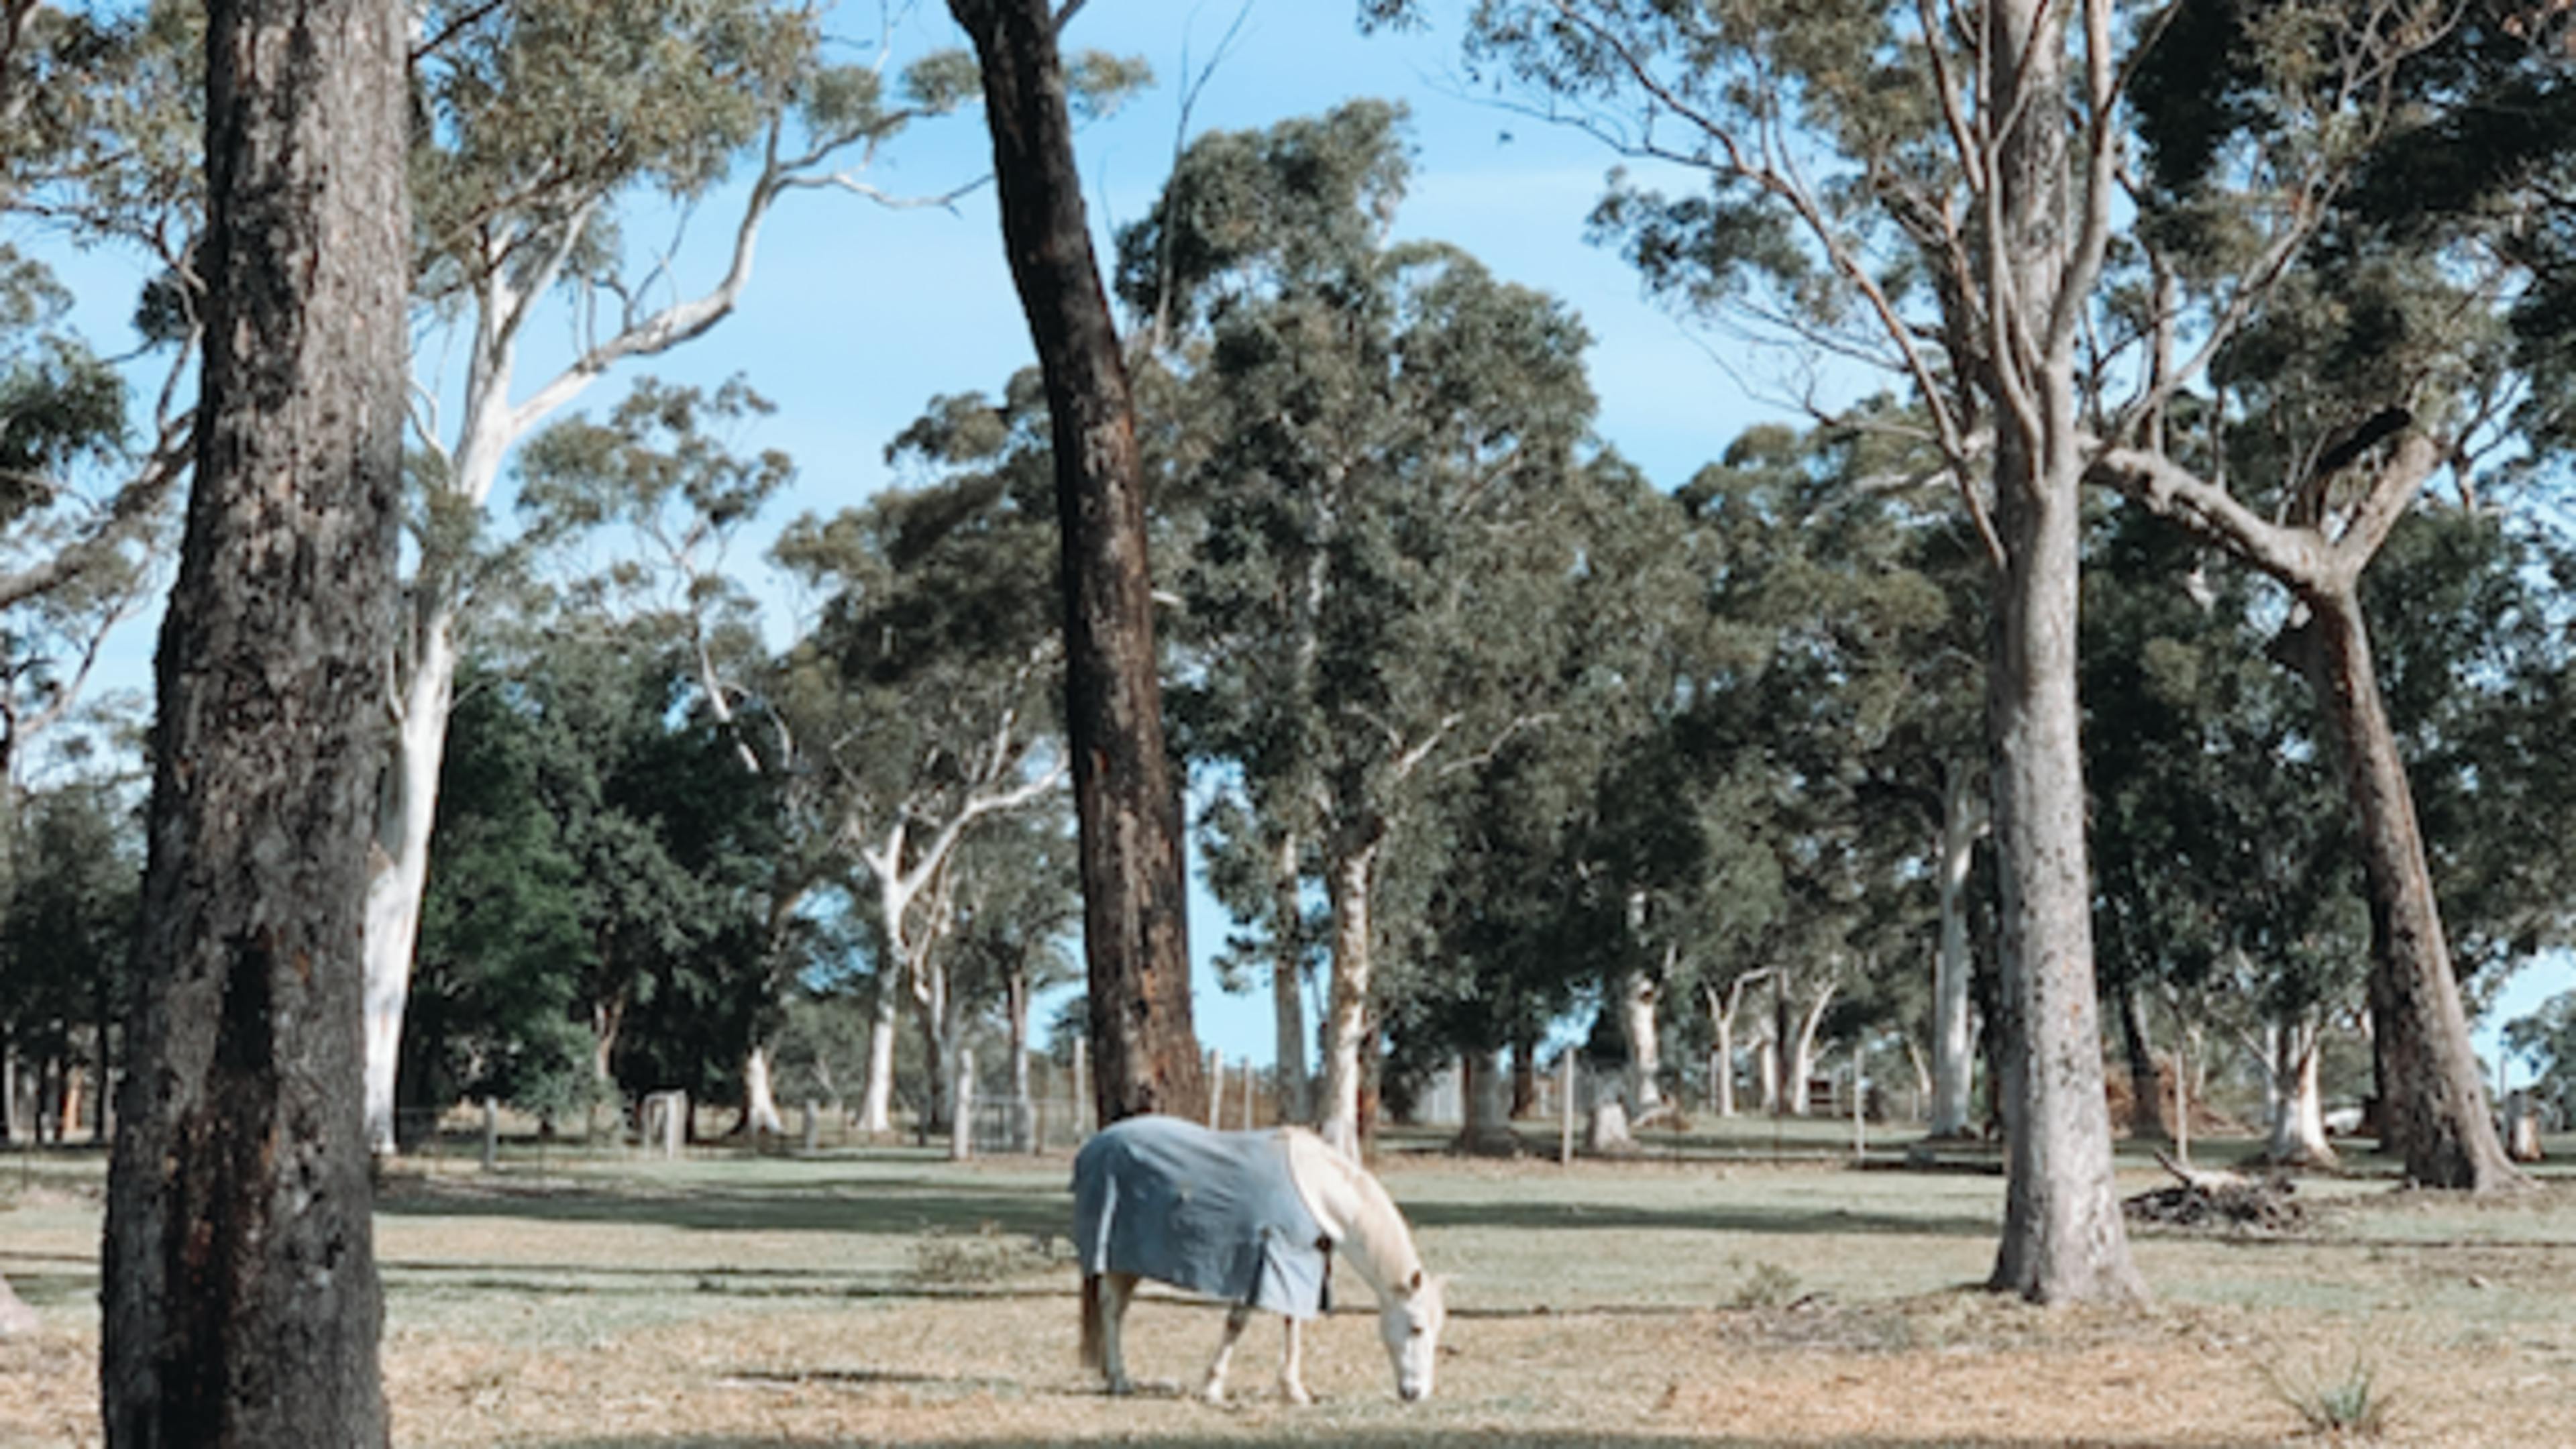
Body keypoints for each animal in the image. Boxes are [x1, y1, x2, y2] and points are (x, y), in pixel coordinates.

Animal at [1071, 1114, 1447, 1404]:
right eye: (1416, 1327)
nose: (1417, 1394)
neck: (1317, 1189)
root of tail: (1094, 1145)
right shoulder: (1262, 1260)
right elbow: (1238, 1322)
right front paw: (1213, 1388)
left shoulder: (1297, 1265)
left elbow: (1293, 1323)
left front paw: (1293, 1390)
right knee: (1110, 1310)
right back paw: (1120, 1381)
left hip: (1128, 1262)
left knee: (1116, 1310)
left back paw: (1114, 1375)